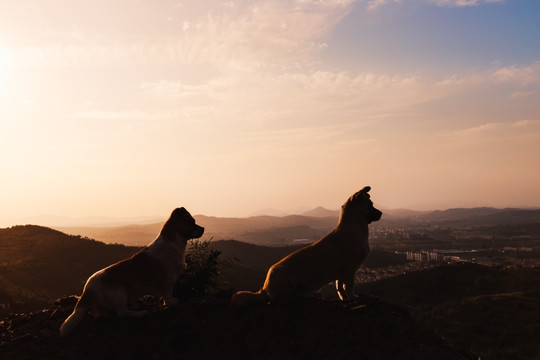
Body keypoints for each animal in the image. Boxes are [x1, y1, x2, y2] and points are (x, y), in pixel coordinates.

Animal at [58, 207, 202, 336]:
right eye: (191, 221)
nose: (203, 229)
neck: (172, 243)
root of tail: (87, 289)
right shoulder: (167, 281)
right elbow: (168, 293)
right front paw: (171, 303)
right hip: (120, 292)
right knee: (121, 312)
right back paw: (140, 313)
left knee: (101, 313)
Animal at [231, 186, 380, 306]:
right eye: (370, 205)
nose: (381, 213)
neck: (354, 227)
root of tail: (264, 287)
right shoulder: (349, 270)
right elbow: (348, 286)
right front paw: (352, 297)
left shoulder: (342, 272)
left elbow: (340, 288)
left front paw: (345, 298)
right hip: (285, 277)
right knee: (282, 299)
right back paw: (305, 295)